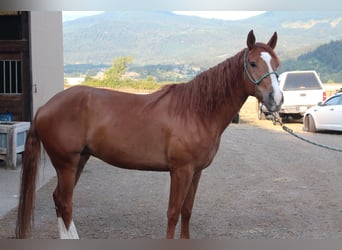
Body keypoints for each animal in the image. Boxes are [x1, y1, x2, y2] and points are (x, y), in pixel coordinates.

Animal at [16, 30, 282, 239]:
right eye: (253, 63)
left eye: (277, 65)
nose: (276, 99)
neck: (196, 111)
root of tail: (45, 107)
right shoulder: (181, 171)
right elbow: (173, 213)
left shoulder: (196, 172)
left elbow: (187, 212)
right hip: (67, 163)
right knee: (65, 203)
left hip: (80, 159)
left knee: (58, 200)